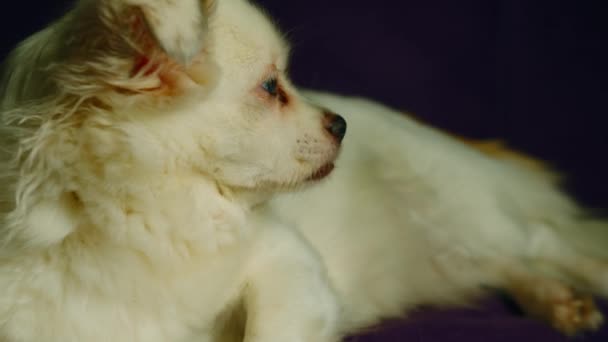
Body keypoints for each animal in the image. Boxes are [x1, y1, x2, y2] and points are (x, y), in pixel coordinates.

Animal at [0, 0, 604, 342]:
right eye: (272, 87)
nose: (340, 123)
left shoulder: (288, 262)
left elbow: (270, 328)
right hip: (453, 249)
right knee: (505, 265)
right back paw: (555, 300)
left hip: (457, 212)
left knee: (547, 242)